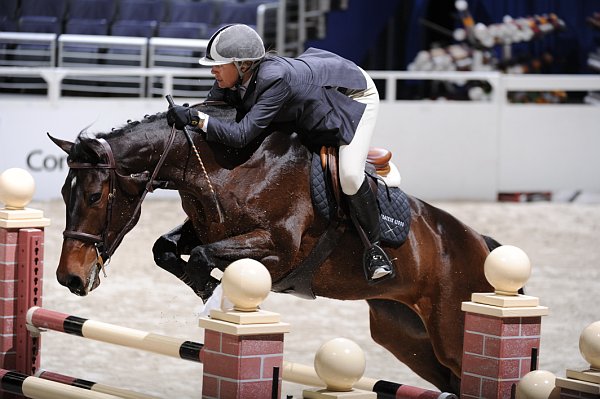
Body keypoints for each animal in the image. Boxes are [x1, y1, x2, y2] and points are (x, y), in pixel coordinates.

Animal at [48, 103, 496, 394]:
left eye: (93, 197)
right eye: (64, 193)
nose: (69, 277)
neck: (229, 164)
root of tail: (481, 244)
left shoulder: (278, 250)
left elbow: (202, 256)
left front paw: (214, 294)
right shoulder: (204, 228)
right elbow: (166, 249)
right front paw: (209, 291)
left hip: (451, 333)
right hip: (406, 337)